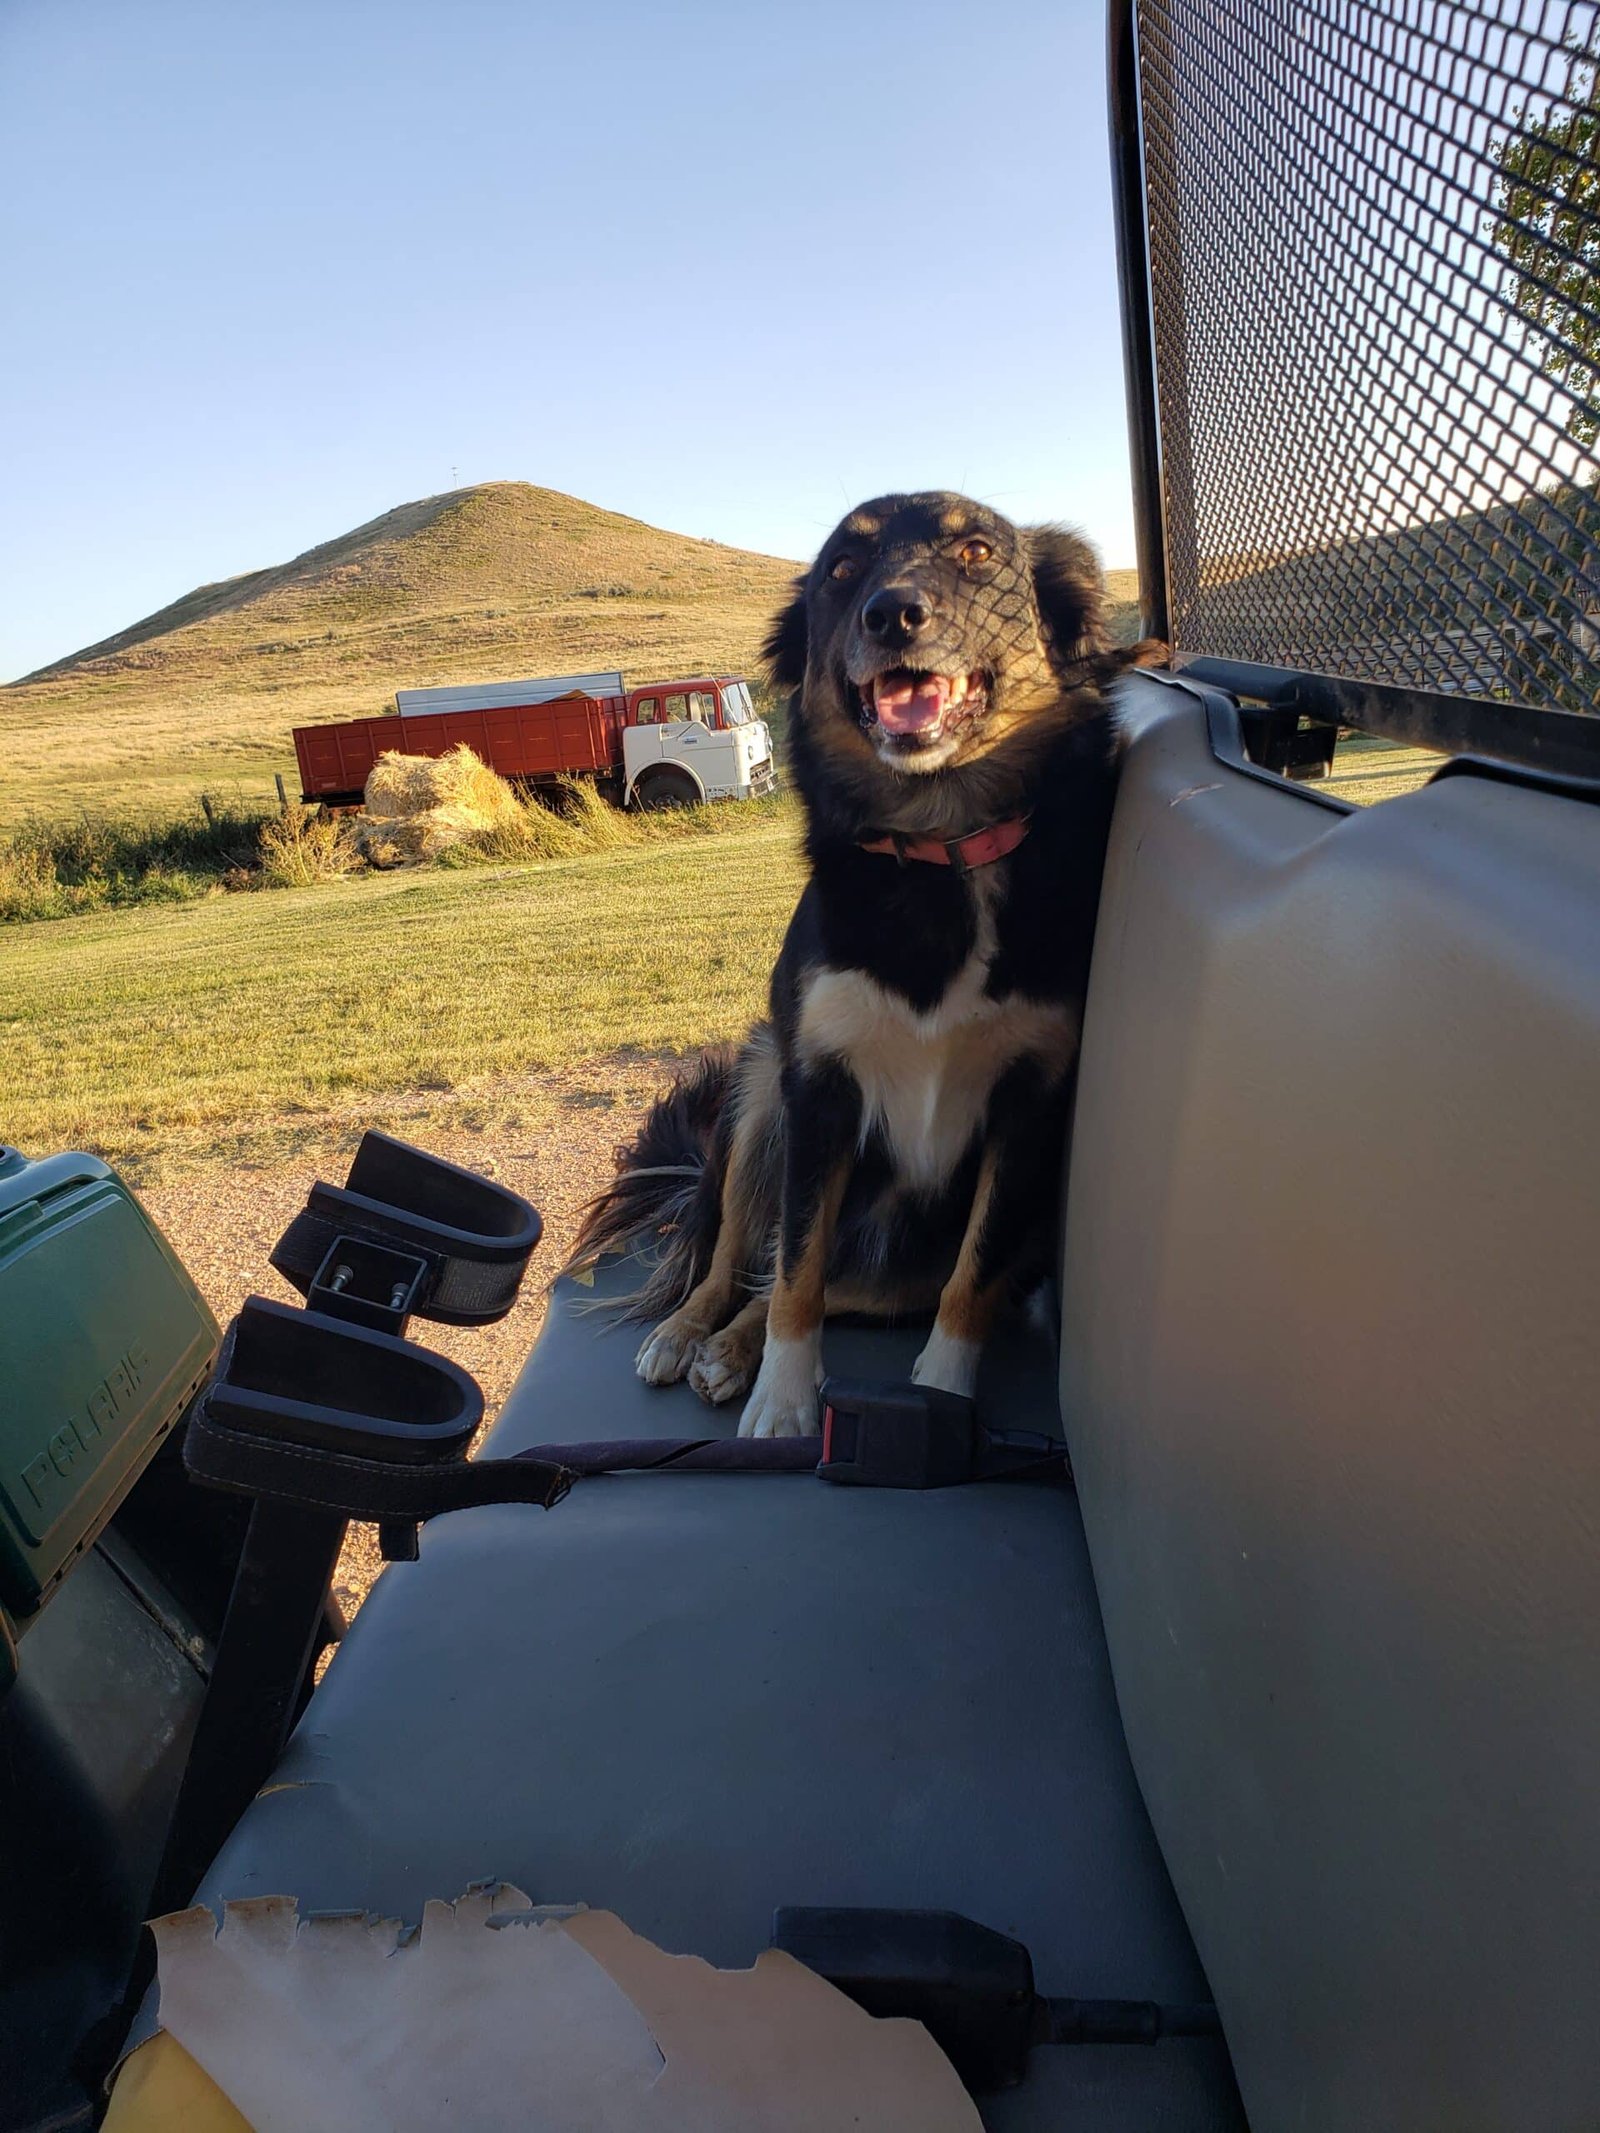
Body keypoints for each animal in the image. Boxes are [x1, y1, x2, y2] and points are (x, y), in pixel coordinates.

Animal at [571, 488, 1160, 1433]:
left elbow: (965, 1282)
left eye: (977, 552)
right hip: (758, 1093)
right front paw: (782, 1402)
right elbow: (794, 1277)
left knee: (828, 1280)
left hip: (905, 1255)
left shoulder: (1028, 1103)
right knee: (745, 1254)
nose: (893, 614)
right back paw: (690, 1334)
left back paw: (728, 1348)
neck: (939, 844)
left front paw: (941, 1396)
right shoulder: (817, 1086)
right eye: (843, 571)